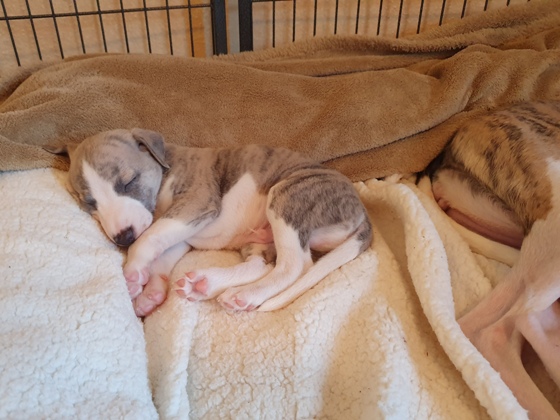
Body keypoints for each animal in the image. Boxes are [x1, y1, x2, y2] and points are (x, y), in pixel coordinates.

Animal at [49, 129, 372, 317]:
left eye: (128, 182)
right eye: (89, 202)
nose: (122, 238)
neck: (165, 166)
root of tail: (362, 211)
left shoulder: (197, 203)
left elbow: (148, 239)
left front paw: (132, 273)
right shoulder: (182, 230)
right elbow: (161, 252)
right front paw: (151, 293)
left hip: (287, 195)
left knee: (295, 265)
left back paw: (245, 294)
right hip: (262, 235)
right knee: (261, 264)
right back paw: (206, 284)